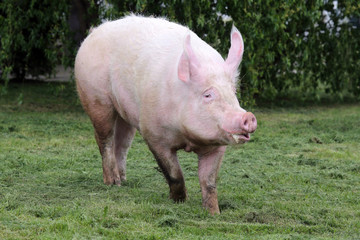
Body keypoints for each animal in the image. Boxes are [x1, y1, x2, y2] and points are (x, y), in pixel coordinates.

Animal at [75, 15, 256, 214]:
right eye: (208, 95)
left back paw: (122, 181)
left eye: (233, 92)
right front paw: (179, 202)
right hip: (96, 98)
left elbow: (208, 182)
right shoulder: (154, 134)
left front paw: (213, 212)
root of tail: (94, 32)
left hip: (125, 113)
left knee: (121, 144)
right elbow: (175, 174)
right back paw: (112, 183)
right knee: (104, 139)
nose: (248, 116)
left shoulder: (216, 146)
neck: (188, 138)